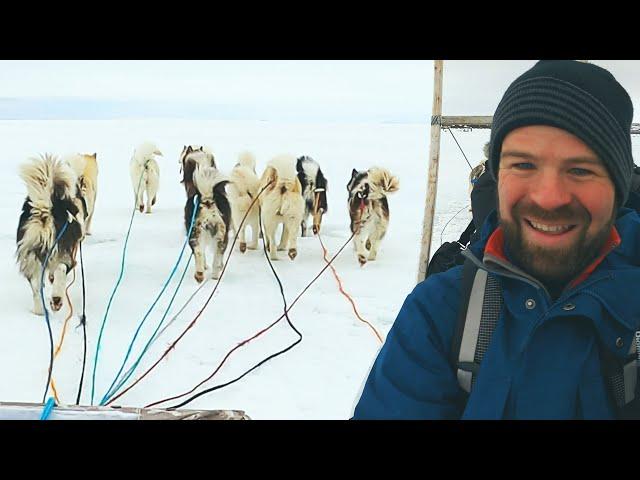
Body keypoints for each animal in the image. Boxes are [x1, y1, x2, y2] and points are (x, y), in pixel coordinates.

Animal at [16, 154, 86, 316]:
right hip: (62, 252)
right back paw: (56, 299)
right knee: (61, 269)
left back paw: (40, 310)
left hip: (30, 256)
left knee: (36, 287)